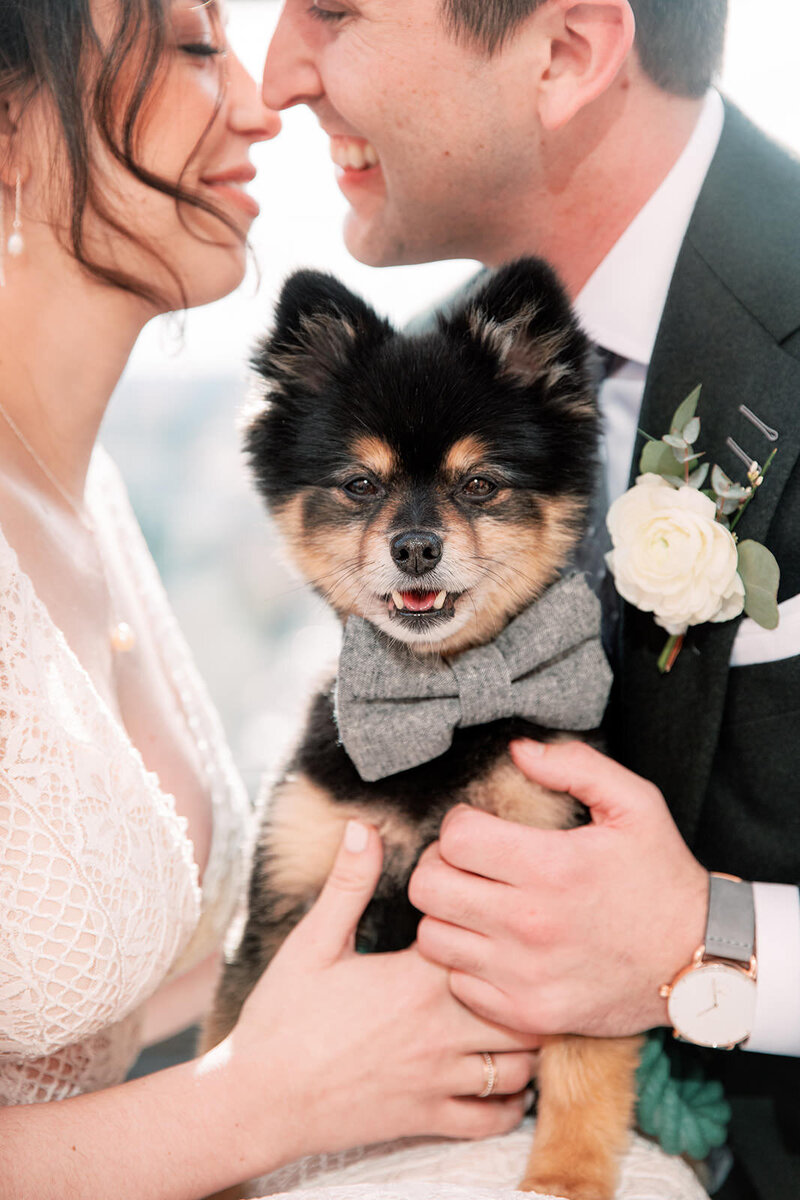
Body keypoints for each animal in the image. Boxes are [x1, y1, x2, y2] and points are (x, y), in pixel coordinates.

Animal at [203, 258, 642, 1195]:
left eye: (479, 484)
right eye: (360, 485)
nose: (413, 547)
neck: (437, 713)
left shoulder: (565, 903)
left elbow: (583, 1064)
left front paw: (564, 1178)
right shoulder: (282, 900)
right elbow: (229, 1061)